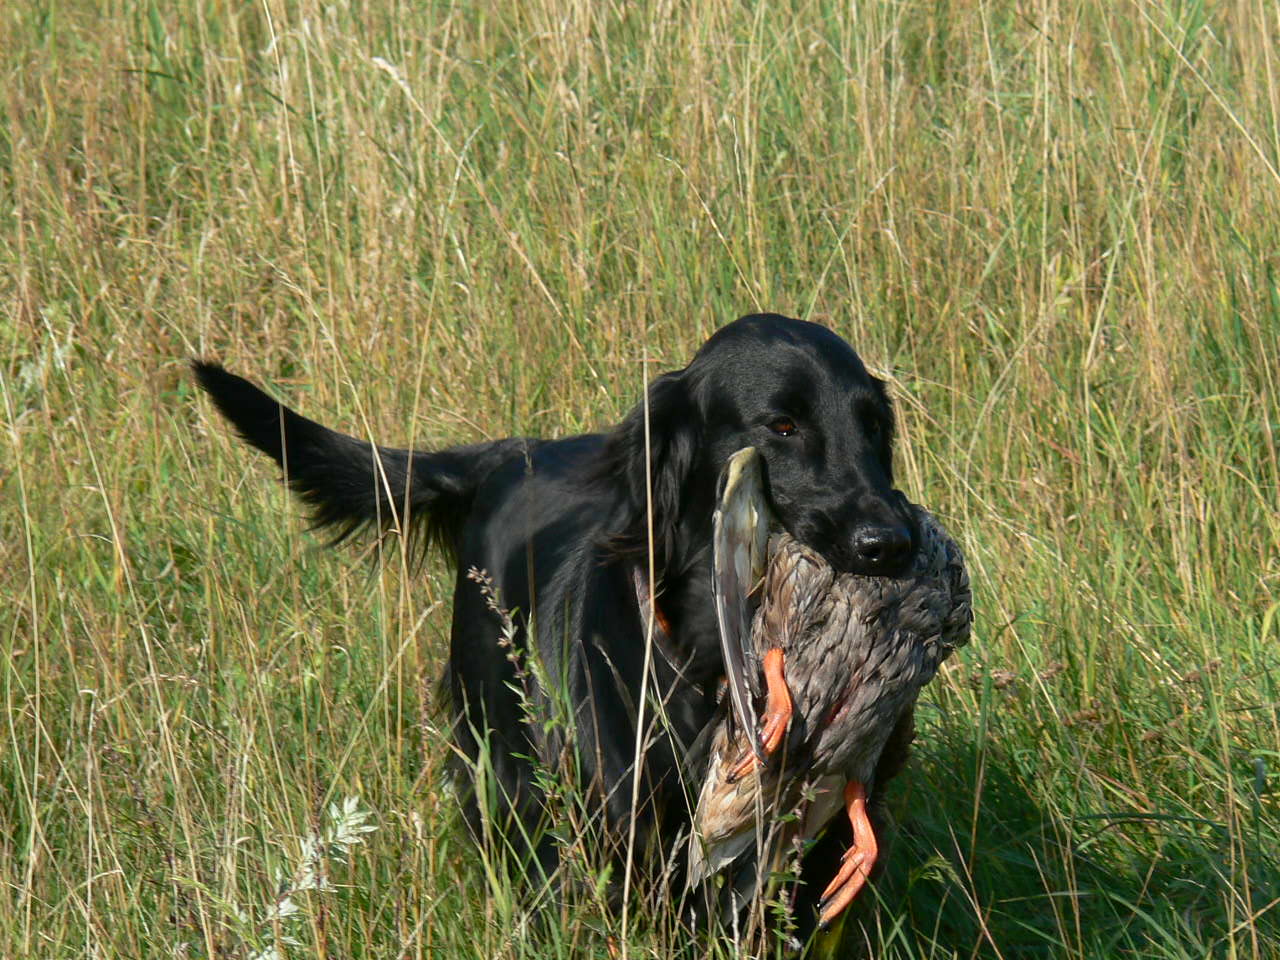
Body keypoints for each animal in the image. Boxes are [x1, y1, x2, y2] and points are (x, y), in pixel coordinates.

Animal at [192, 313, 921, 931]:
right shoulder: (620, 839)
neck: (705, 659)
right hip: (502, 761)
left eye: (872, 426)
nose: (889, 544)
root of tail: (499, 456)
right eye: (783, 425)